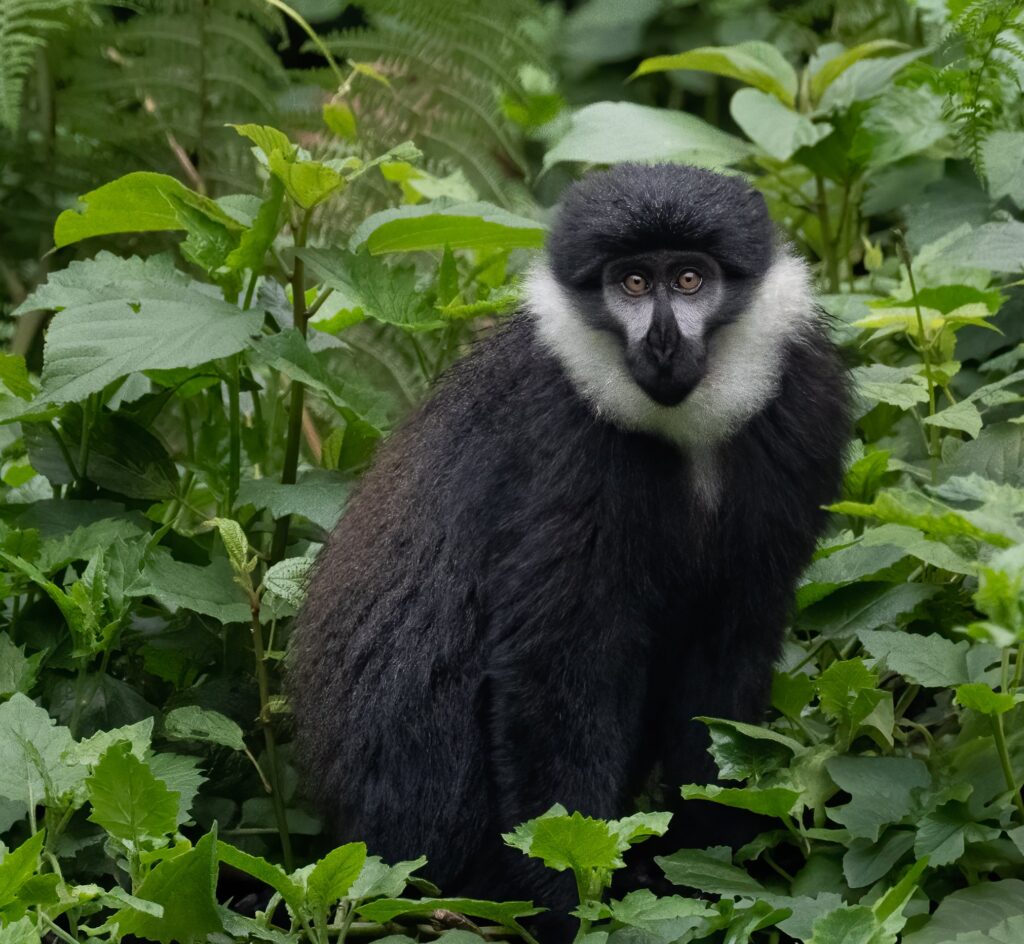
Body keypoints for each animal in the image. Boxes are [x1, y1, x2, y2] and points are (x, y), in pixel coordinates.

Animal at [289, 163, 850, 911]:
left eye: (690, 279)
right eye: (632, 283)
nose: (663, 340)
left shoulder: (805, 411)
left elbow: (731, 649)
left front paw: (710, 864)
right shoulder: (564, 443)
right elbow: (556, 667)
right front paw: (568, 903)